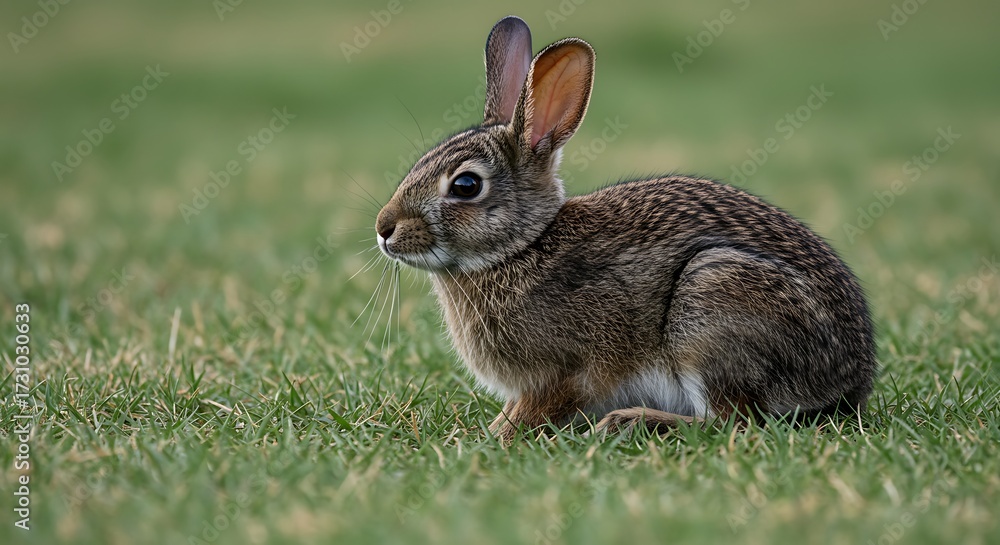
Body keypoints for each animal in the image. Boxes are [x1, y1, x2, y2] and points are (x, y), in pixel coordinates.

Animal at [374, 16, 876, 442]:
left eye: (465, 185)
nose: (384, 228)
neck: (520, 248)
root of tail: (851, 378)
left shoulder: (568, 371)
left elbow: (542, 406)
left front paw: (496, 437)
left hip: (710, 301)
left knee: (732, 421)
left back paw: (628, 422)